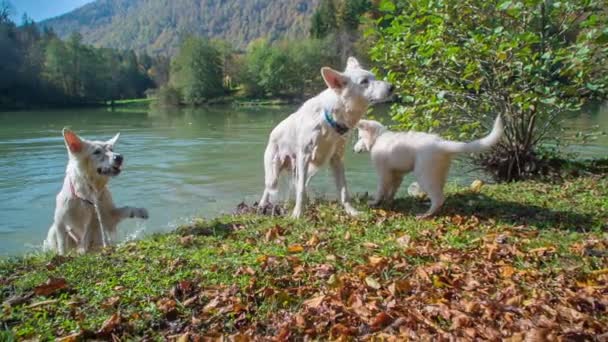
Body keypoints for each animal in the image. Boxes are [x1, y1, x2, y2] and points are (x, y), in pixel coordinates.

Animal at [258, 55, 394, 216]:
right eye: (364, 82)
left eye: (374, 77)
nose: (392, 87)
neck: (329, 118)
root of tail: (272, 132)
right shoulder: (304, 155)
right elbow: (300, 190)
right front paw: (297, 214)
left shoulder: (337, 158)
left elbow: (343, 190)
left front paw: (351, 211)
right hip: (275, 172)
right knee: (270, 188)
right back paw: (262, 205)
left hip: (311, 168)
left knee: (300, 184)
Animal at [352, 116, 504, 218]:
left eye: (359, 137)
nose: (353, 150)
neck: (378, 138)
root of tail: (441, 144)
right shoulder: (397, 174)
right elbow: (392, 190)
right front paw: (389, 201)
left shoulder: (383, 173)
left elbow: (380, 190)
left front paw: (374, 202)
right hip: (438, 174)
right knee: (439, 195)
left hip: (424, 175)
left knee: (438, 198)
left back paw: (425, 215)